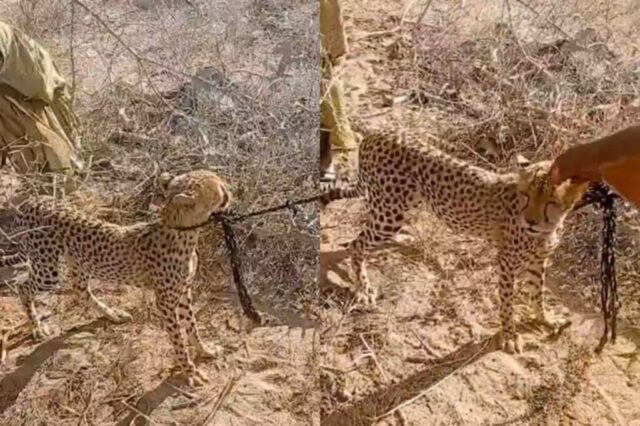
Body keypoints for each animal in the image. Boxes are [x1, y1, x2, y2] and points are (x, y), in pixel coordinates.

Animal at [0, 169, 232, 386]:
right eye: (218, 186)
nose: (229, 188)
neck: (183, 230)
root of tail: (31, 201)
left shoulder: (183, 292)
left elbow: (192, 326)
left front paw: (205, 350)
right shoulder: (165, 301)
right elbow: (178, 338)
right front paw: (189, 371)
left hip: (78, 262)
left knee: (79, 289)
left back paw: (113, 314)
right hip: (48, 269)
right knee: (23, 286)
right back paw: (37, 326)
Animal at [320, 126, 587, 353]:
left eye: (550, 201)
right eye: (525, 195)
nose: (530, 221)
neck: (546, 228)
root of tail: (376, 132)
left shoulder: (537, 261)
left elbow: (537, 294)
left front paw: (546, 319)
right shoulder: (506, 262)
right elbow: (507, 302)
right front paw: (509, 334)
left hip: (402, 203)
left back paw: (402, 239)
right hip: (390, 211)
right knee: (357, 243)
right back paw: (363, 287)